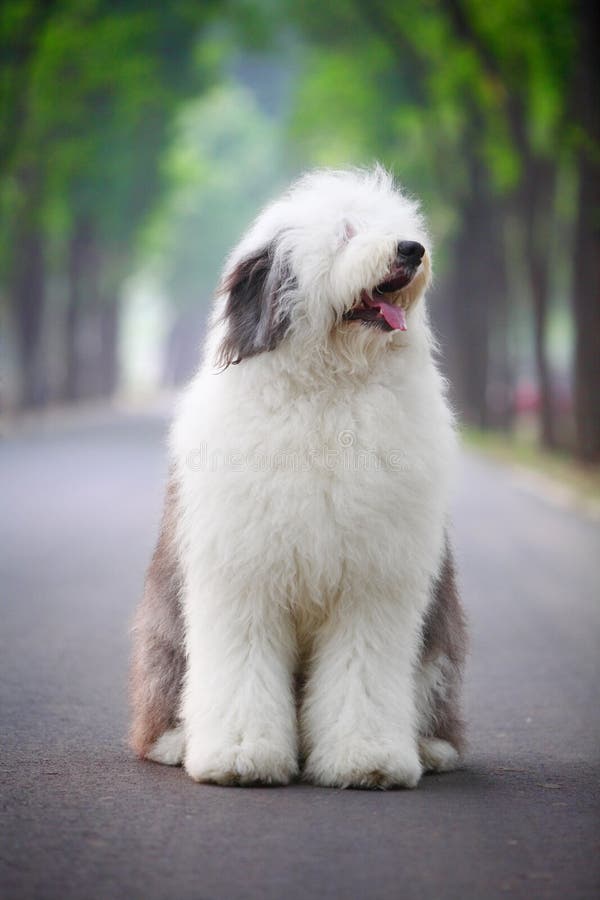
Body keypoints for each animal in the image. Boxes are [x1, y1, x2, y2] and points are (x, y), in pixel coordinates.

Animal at [132, 163, 468, 788]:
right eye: (346, 232)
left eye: (397, 227)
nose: (411, 250)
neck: (329, 387)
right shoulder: (244, 576)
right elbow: (242, 666)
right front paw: (241, 756)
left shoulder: (373, 582)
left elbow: (362, 671)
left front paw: (367, 759)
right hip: (165, 636)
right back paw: (173, 741)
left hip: (439, 638)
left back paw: (433, 749)